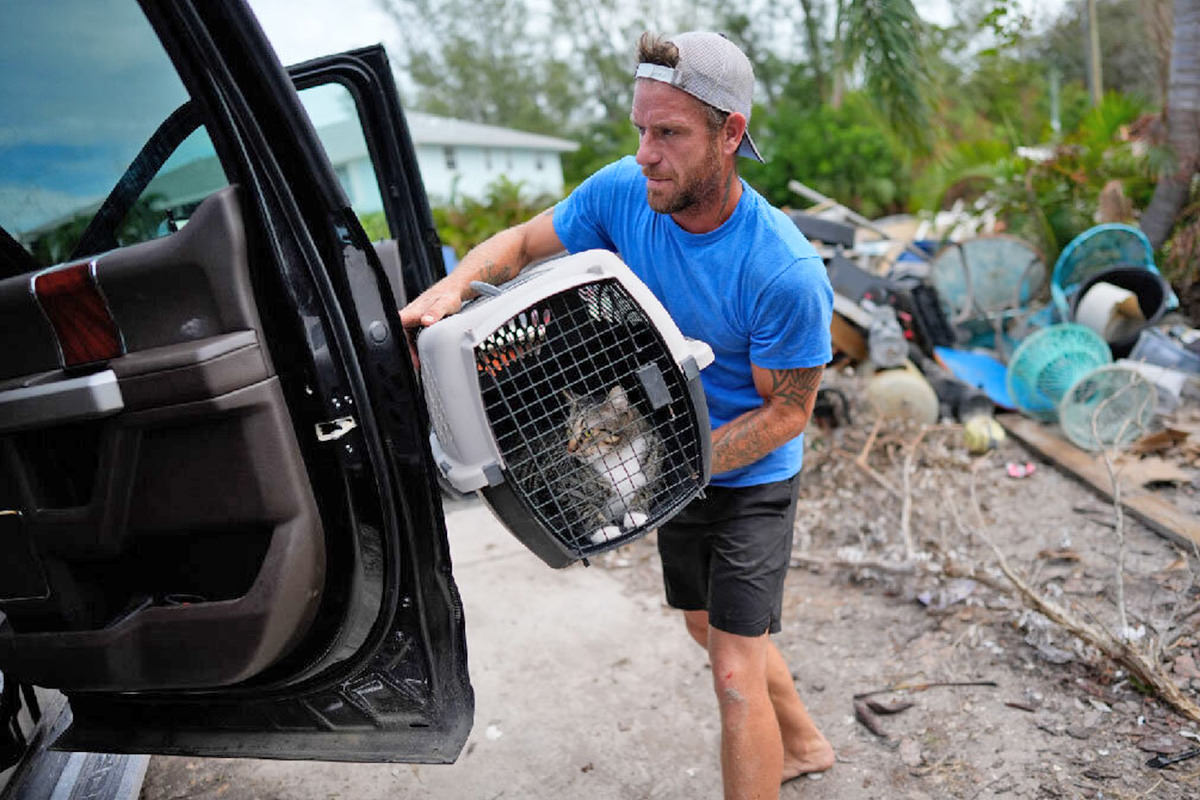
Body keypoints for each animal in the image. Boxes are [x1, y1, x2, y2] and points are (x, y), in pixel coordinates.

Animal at [559, 383, 657, 546]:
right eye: (568, 430)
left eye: (588, 432)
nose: (570, 449)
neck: (615, 458)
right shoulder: (565, 488)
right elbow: (583, 509)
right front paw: (605, 531)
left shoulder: (656, 462)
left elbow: (647, 489)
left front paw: (635, 514)